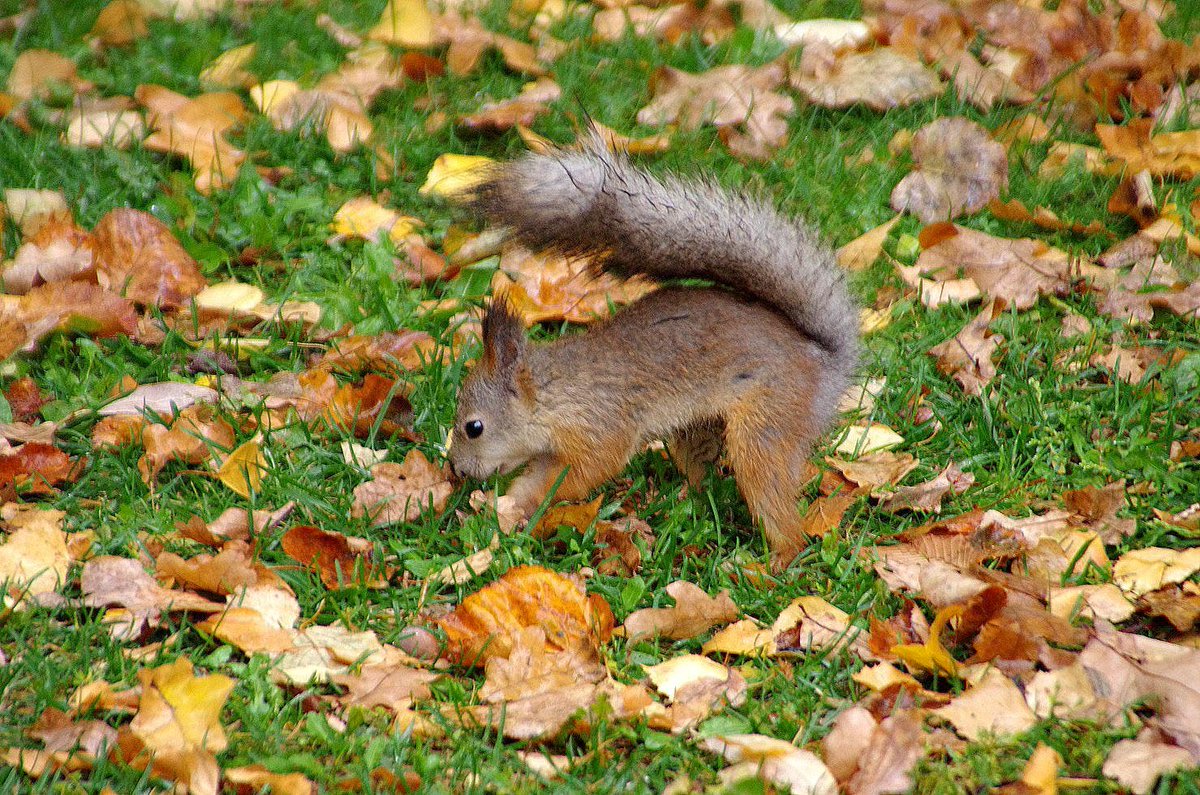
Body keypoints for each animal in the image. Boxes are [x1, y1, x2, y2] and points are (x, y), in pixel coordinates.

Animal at [446, 138, 859, 574]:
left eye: (474, 427)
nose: (456, 469)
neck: (555, 393)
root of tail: (824, 362)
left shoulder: (601, 429)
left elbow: (582, 473)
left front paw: (525, 503)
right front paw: (504, 507)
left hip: (766, 427)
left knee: (781, 511)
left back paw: (771, 562)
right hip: (697, 430)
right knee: (702, 476)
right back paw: (682, 501)